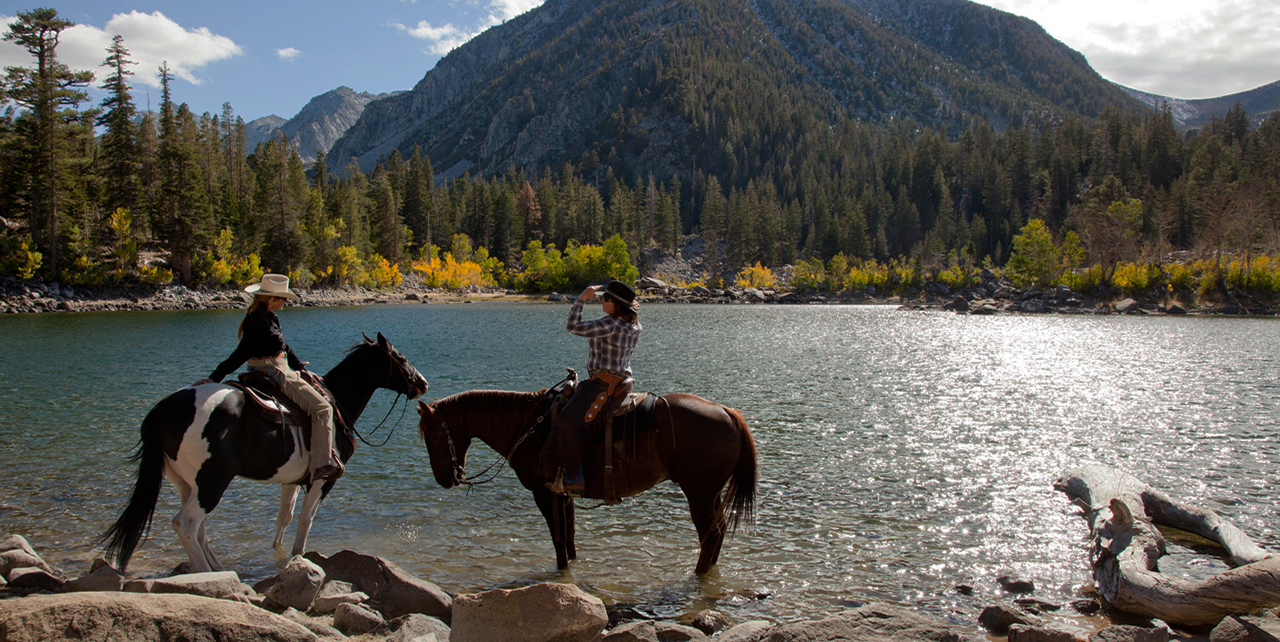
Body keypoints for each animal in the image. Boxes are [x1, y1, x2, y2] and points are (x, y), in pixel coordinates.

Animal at [101, 332, 430, 570]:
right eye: (400, 358)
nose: (423, 383)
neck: (337, 403)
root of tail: (162, 409)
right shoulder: (323, 479)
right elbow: (305, 520)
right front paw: (298, 556)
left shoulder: (292, 480)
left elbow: (284, 517)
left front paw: (278, 553)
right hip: (212, 481)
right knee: (186, 524)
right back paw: (206, 572)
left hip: (186, 483)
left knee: (199, 528)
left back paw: (216, 567)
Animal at [414, 388, 752, 575]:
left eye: (432, 434)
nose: (445, 479)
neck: (526, 424)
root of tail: (727, 412)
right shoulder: (563, 494)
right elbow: (570, 537)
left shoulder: (543, 493)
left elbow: (558, 539)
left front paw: (561, 572)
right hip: (711, 494)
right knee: (720, 530)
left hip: (699, 495)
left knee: (710, 534)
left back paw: (697, 575)